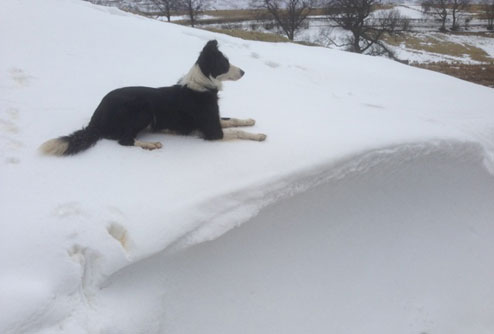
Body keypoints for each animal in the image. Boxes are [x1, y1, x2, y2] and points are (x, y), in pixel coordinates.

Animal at [39, 39, 266, 156]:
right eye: (224, 63)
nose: (244, 72)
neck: (201, 84)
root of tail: (96, 117)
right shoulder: (211, 131)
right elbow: (236, 131)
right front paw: (258, 136)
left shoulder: (214, 119)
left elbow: (233, 120)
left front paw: (249, 120)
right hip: (143, 109)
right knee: (124, 140)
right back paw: (150, 145)